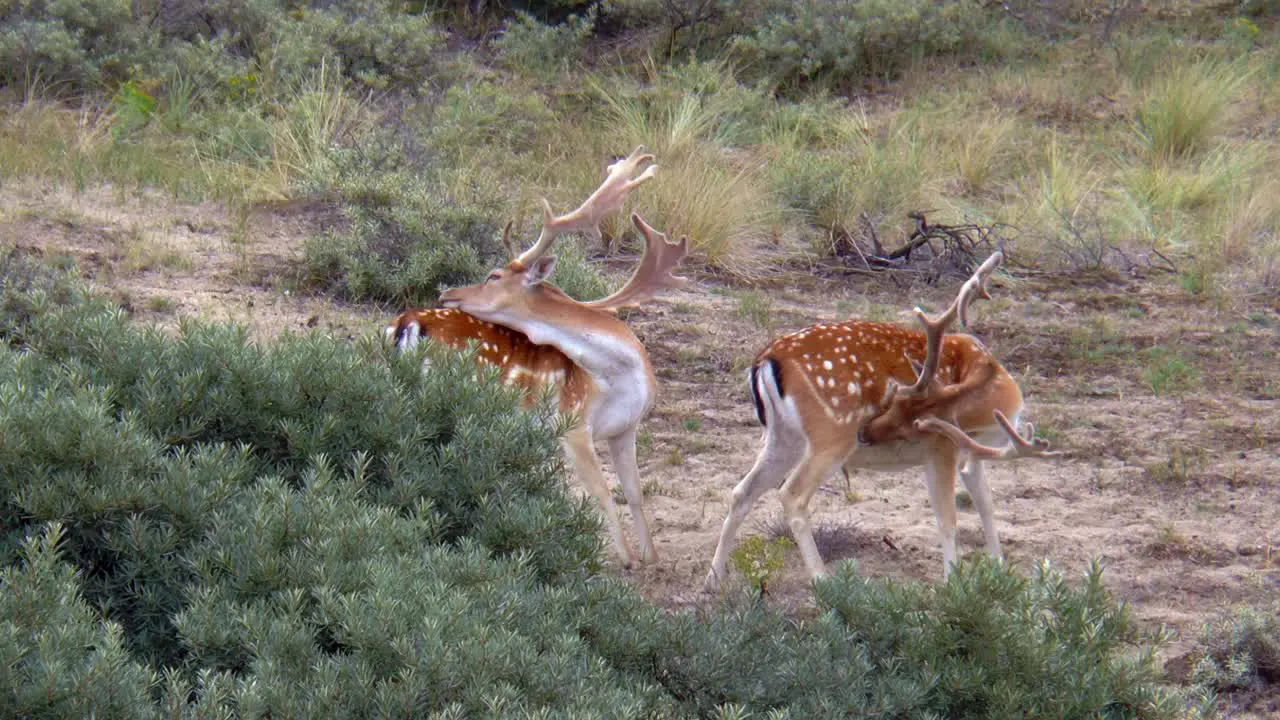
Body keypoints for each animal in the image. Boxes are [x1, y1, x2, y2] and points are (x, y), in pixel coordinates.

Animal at [386, 147, 691, 566]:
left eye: (494, 275)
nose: (447, 293)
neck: (622, 376)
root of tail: (406, 324)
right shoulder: (572, 425)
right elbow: (602, 493)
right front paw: (628, 560)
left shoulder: (625, 428)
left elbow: (634, 491)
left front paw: (651, 558)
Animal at [701, 252, 1059, 589]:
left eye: (900, 407)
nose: (867, 434)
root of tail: (764, 360)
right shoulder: (942, 448)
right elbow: (948, 520)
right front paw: (953, 585)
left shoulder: (967, 453)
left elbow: (986, 505)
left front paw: (999, 573)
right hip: (831, 435)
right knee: (792, 494)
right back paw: (822, 581)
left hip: (783, 438)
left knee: (741, 491)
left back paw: (713, 579)